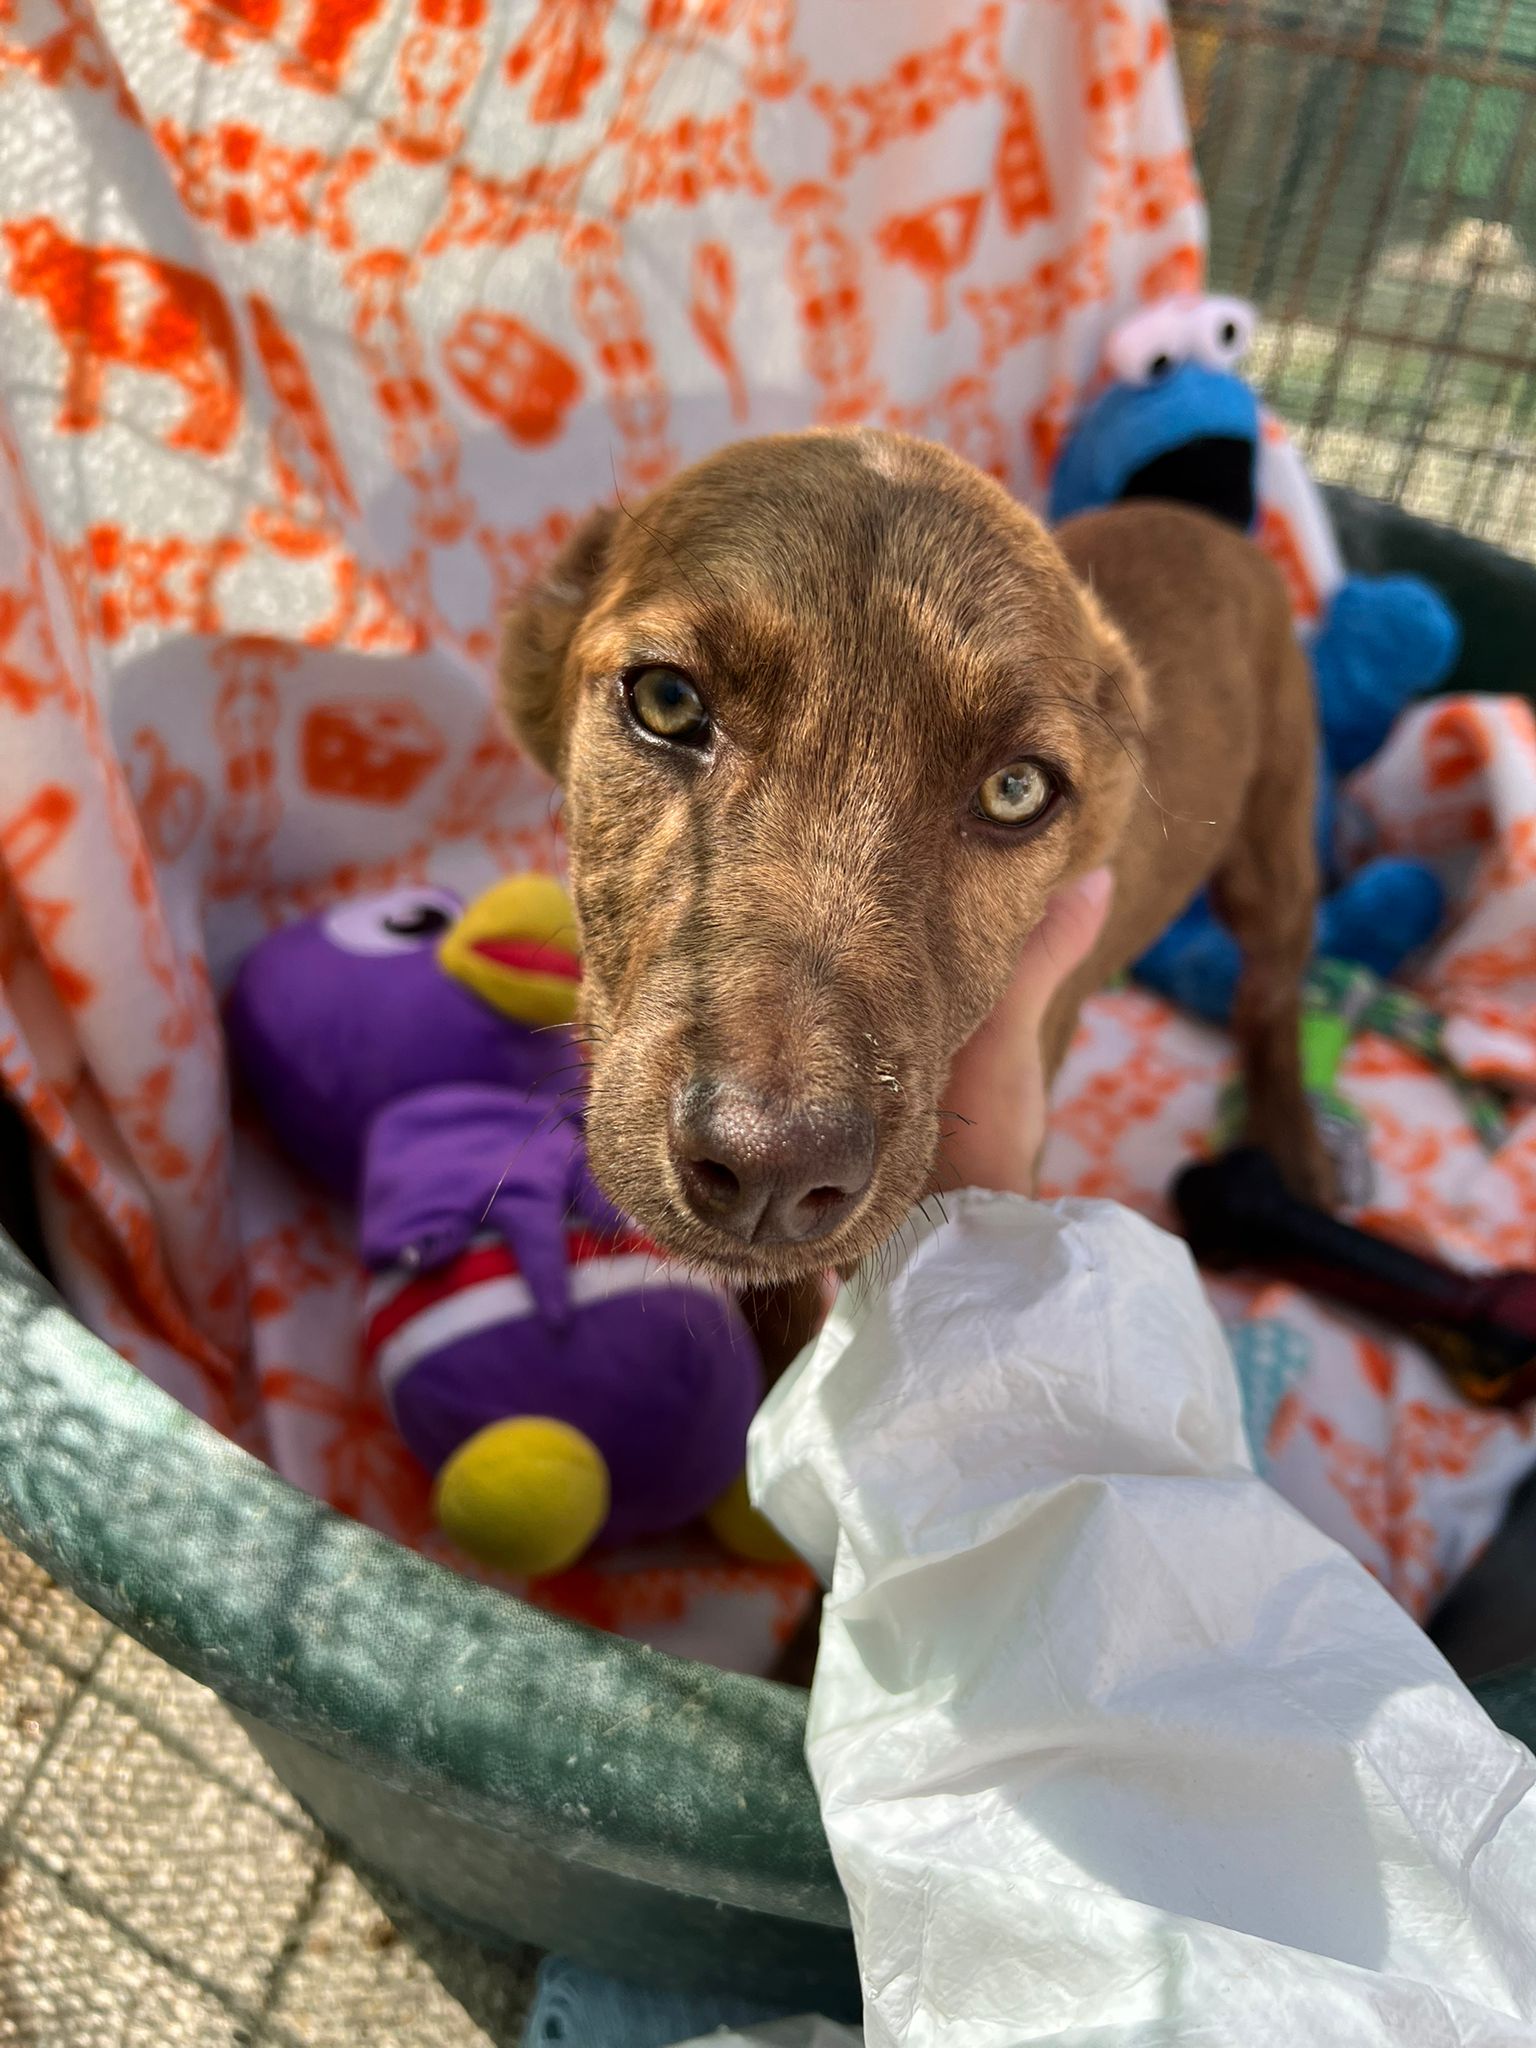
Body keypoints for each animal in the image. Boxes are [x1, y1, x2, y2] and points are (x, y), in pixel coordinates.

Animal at [502, 429, 1329, 1349]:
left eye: (1016, 789)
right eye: (668, 699)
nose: (772, 1170)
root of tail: (1207, 518)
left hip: (1274, 843)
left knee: (1271, 994)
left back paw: (1295, 1152)